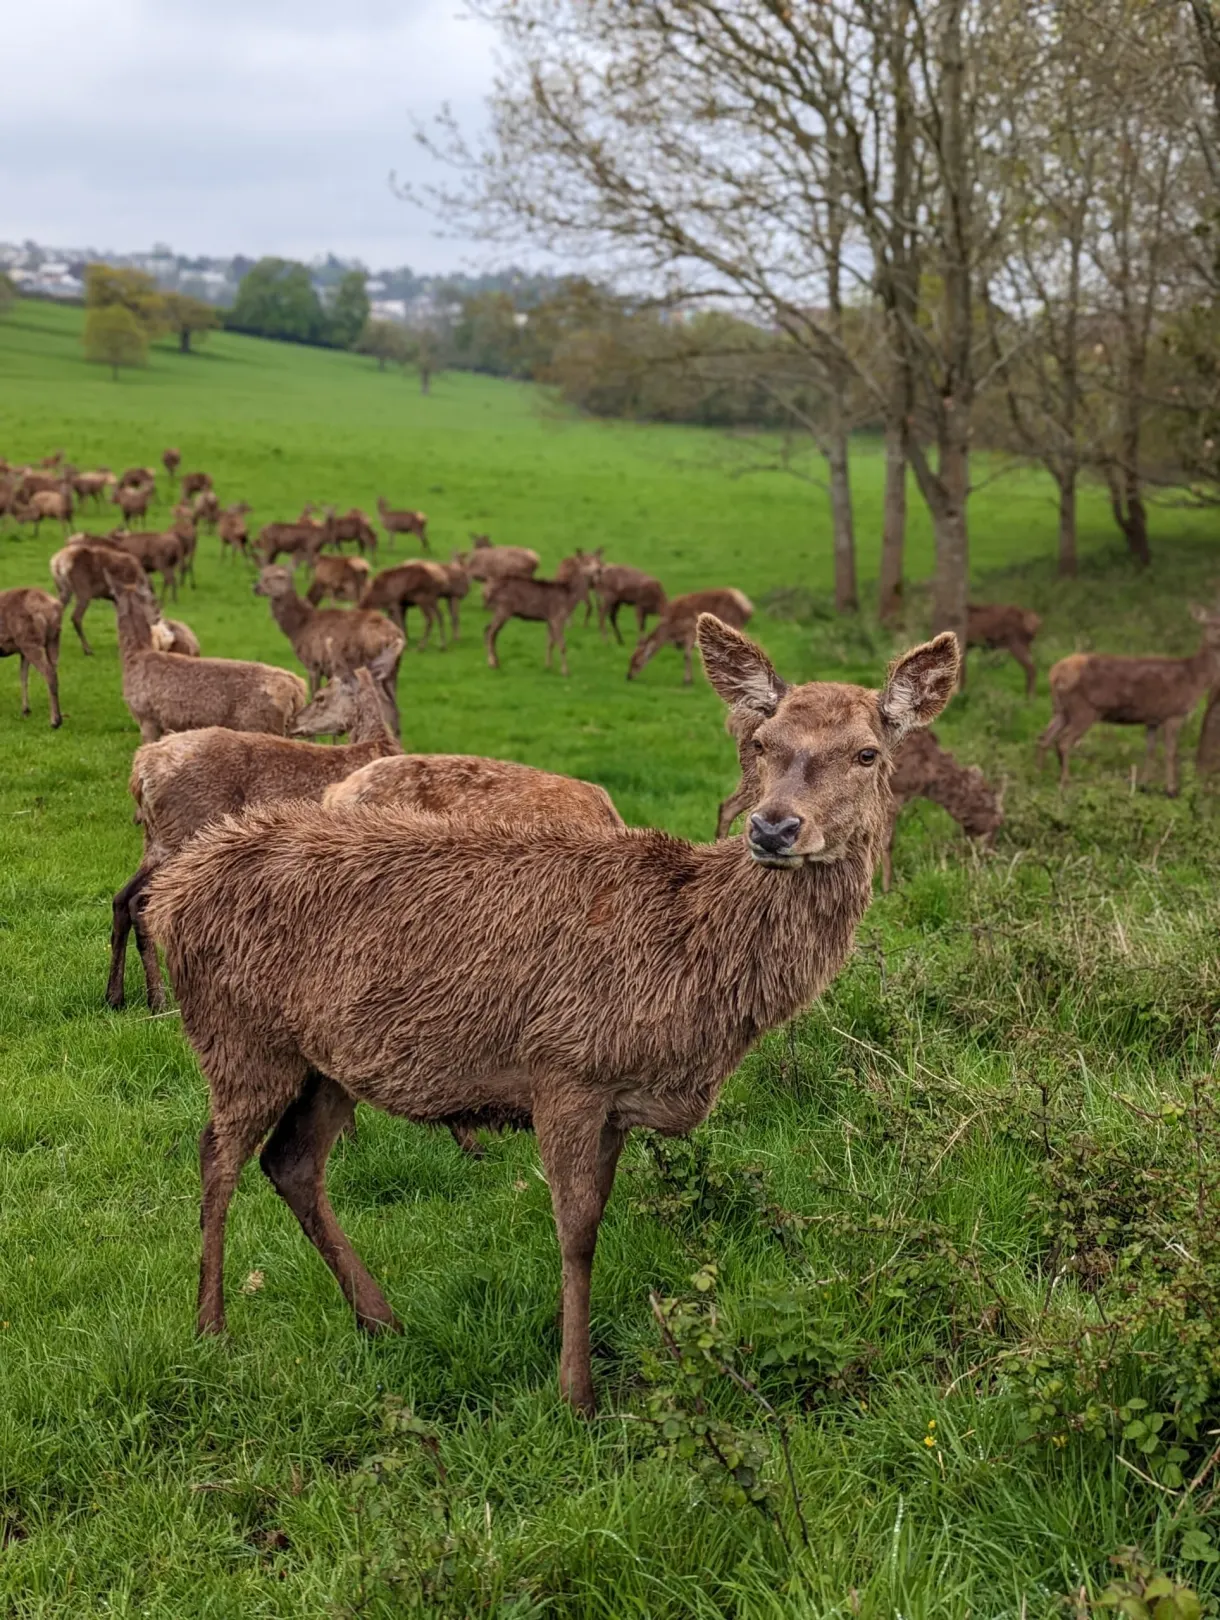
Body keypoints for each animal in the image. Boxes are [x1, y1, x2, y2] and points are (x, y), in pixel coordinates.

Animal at [0, 587, 63, 727]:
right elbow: (23, 677)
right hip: (52, 639)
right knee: (52, 672)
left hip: (30, 641)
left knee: (49, 673)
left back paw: (54, 721)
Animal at [106, 658, 400, 1012]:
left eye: (320, 696)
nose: (295, 722)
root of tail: (140, 773)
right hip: (185, 832)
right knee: (141, 901)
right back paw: (158, 998)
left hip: (156, 840)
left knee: (121, 897)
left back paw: (115, 995)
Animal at [142, 618, 959, 1412]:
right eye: (763, 743)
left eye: (867, 752)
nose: (774, 828)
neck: (695, 968)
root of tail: (174, 891)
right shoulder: (565, 1068)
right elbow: (577, 1232)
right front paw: (577, 1394)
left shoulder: (616, 1098)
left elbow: (594, 1217)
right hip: (239, 1034)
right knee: (217, 1153)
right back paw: (211, 1326)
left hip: (327, 1062)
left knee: (292, 1163)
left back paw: (380, 1318)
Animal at [1036, 606, 1220, 796]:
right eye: (1213, 624)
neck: (1195, 678)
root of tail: (1055, 673)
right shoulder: (1174, 712)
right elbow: (1170, 752)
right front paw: (1171, 790)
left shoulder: (1153, 718)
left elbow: (1150, 750)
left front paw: (1144, 785)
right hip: (1084, 708)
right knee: (1063, 741)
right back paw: (1065, 784)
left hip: (1060, 708)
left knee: (1044, 737)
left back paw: (1038, 776)